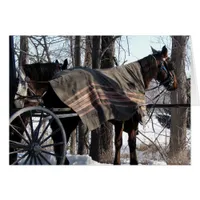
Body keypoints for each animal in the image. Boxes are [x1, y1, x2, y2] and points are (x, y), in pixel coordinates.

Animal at [11, 45, 177, 166]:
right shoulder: (129, 119)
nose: (175, 84)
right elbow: (128, 143)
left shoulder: (120, 121)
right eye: (169, 65)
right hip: (68, 119)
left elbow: (120, 143)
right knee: (59, 138)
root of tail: (53, 83)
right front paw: (131, 162)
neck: (132, 80)